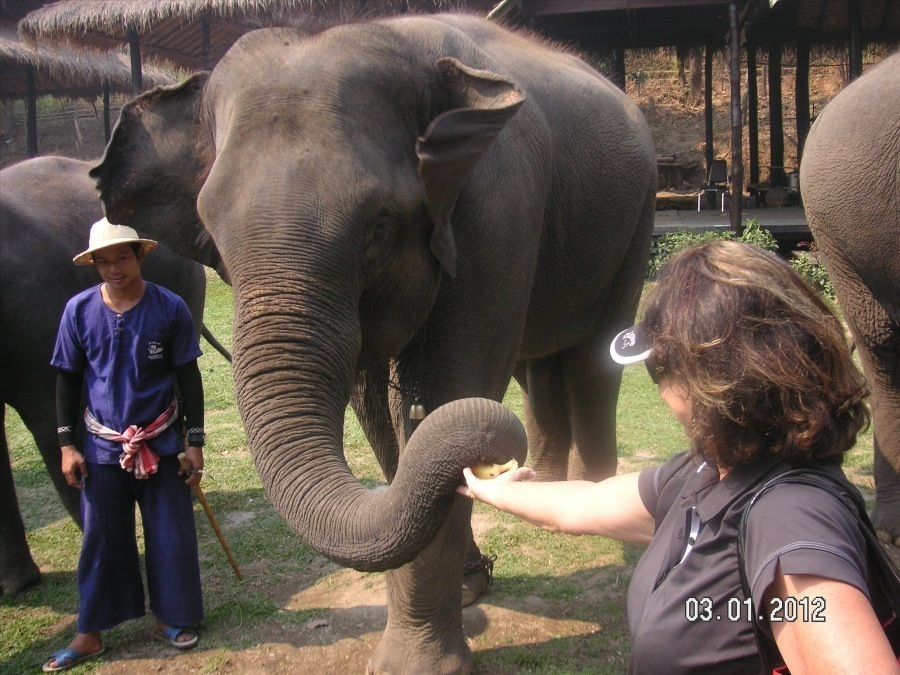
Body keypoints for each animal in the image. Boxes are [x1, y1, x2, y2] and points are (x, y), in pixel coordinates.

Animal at [89, 14, 652, 675]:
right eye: (211, 232)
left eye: (378, 226)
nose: (498, 447)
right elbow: (374, 409)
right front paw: (468, 585)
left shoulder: (500, 206)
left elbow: (456, 385)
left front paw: (419, 664)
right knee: (539, 366)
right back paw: (547, 485)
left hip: (637, 218)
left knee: (591, 361)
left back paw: (590, 495)